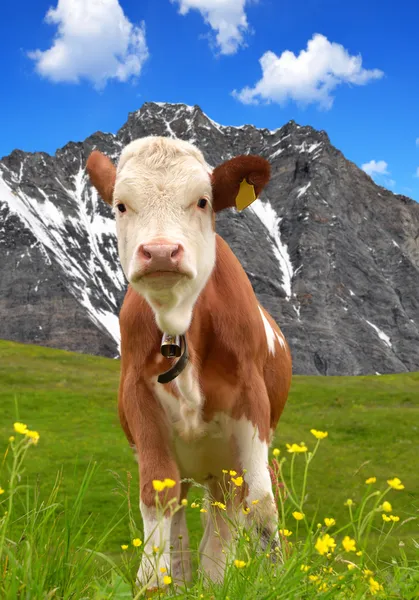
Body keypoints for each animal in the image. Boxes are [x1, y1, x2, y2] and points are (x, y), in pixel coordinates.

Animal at [86, 135, 292, 584]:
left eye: (202, 201)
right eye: (121, 205)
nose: (161, 252)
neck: (180, 323)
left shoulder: (251, 401)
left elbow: (261, 503)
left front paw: (268, 580)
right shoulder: (140, 399)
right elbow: (156, 496)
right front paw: (152, 584)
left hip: (223, 463)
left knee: (225, 514)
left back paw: (216, 579)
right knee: (183, 522)